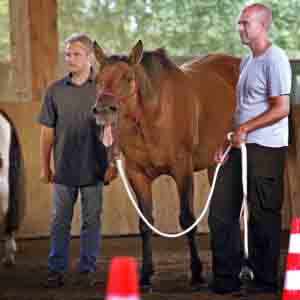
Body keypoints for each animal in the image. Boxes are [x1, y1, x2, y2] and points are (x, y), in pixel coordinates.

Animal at [92, 41, 240, 290]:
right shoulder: (137, 174)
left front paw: (197, 273)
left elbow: (187, 219)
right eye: (97, 79)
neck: (153, 116)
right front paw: (145, 275)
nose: (103, 110)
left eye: (129, 78)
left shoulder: (182, 170)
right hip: (216, 165)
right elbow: (145, 223)